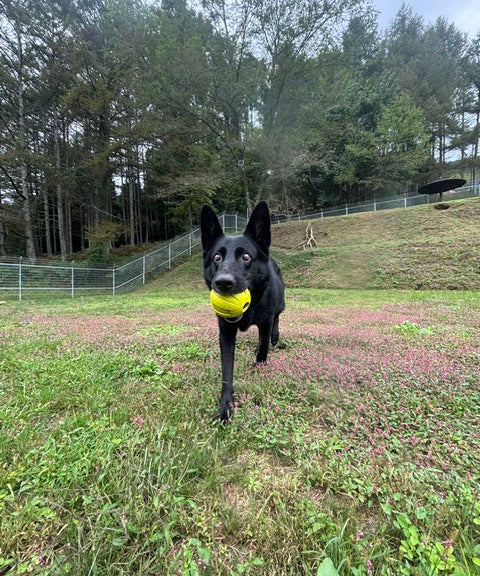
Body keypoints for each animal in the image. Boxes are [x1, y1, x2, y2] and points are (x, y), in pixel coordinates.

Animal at [200, 200, 284, 420]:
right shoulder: (226, 331)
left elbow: (263, 346)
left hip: (281, 303)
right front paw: (226, 407)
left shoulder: (266, 320)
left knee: (277, 319)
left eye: (246, 257)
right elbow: (227, 369)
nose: (223, 283)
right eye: (217, 258)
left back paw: (275, 336)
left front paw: (260, 366)